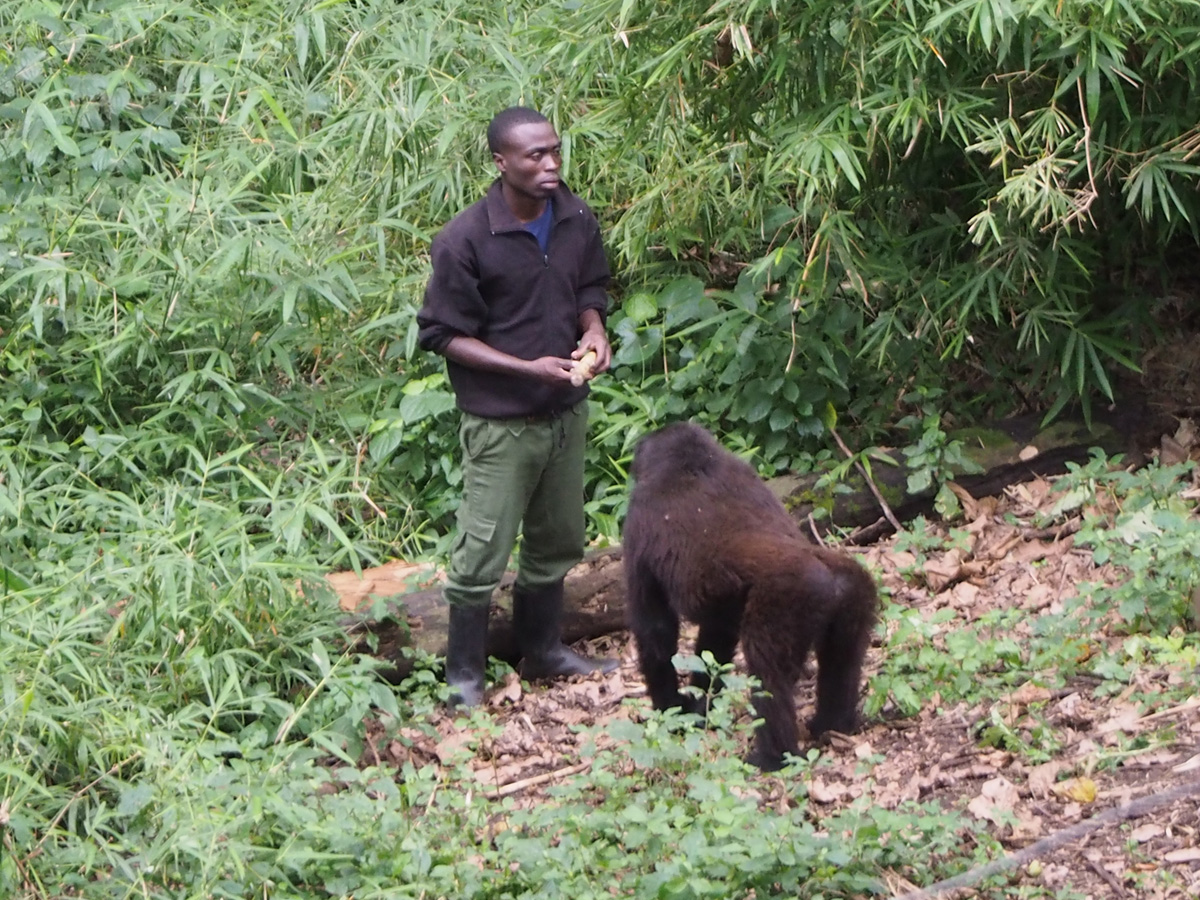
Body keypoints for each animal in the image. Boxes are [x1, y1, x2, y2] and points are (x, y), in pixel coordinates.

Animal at [622, 422, 878, 771]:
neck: (689, 464)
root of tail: (829, 574)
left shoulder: (637, 521)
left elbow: (656, 633)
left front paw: (670, 710)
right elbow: (714, 643)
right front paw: (699, 705)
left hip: (788, 600)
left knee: (766, 669)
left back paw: (773, 756)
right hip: (855, 593)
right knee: (843, 656)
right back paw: (833, 722)